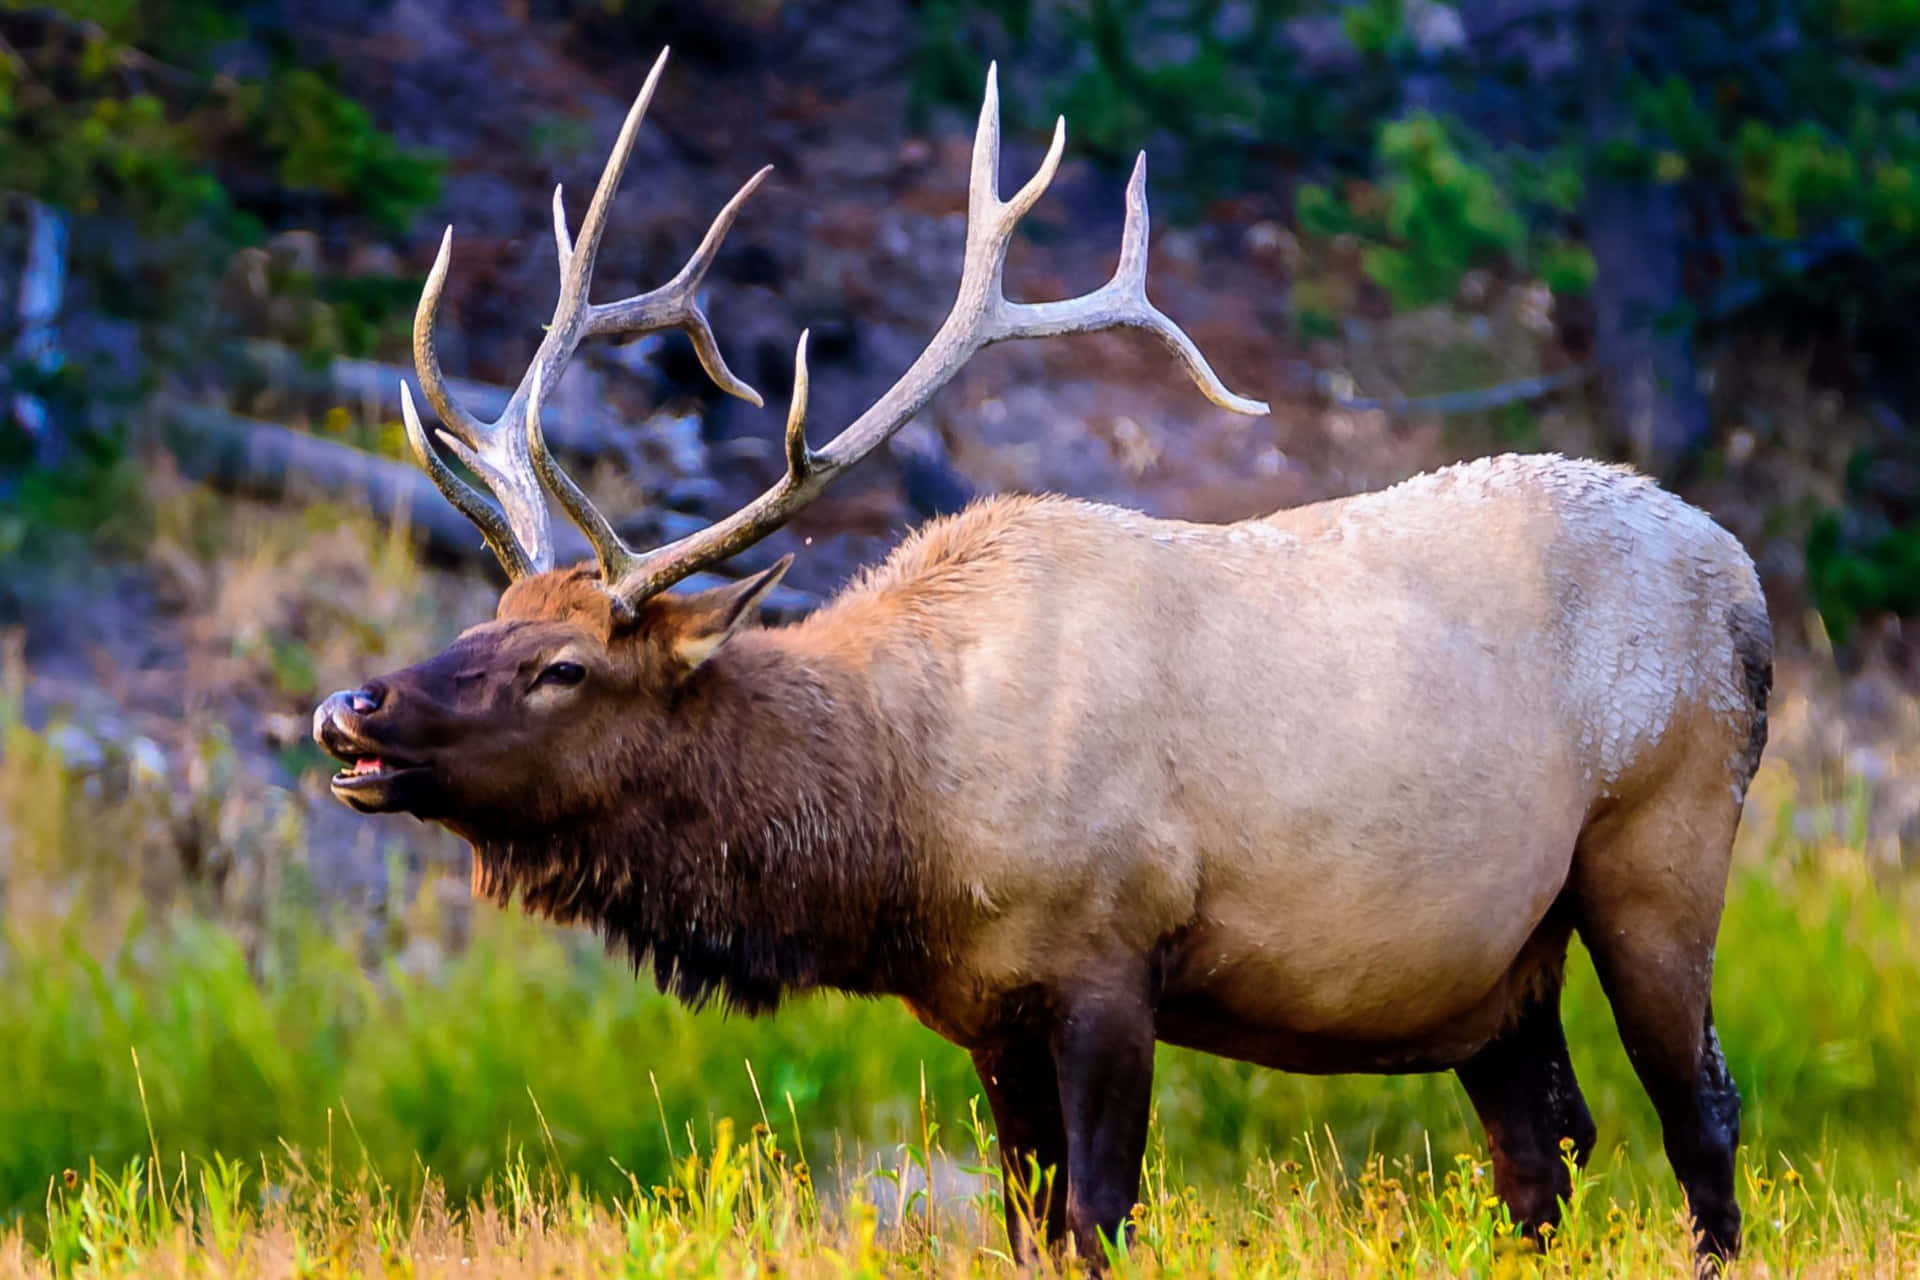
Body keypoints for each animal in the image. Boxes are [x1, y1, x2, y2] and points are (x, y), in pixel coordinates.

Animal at [313, 49, 1770, 1268]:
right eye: (487, 621)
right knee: (1544, 1154)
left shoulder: (1108, 955)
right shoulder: (986, 1010)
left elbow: (1100, 1218)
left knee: (1700, 1112)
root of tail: (1749, 588)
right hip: (1498, 964)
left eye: (564, 667)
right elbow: (1028, 1229)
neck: (905, 825)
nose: (348, 707)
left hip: (1659, 847)